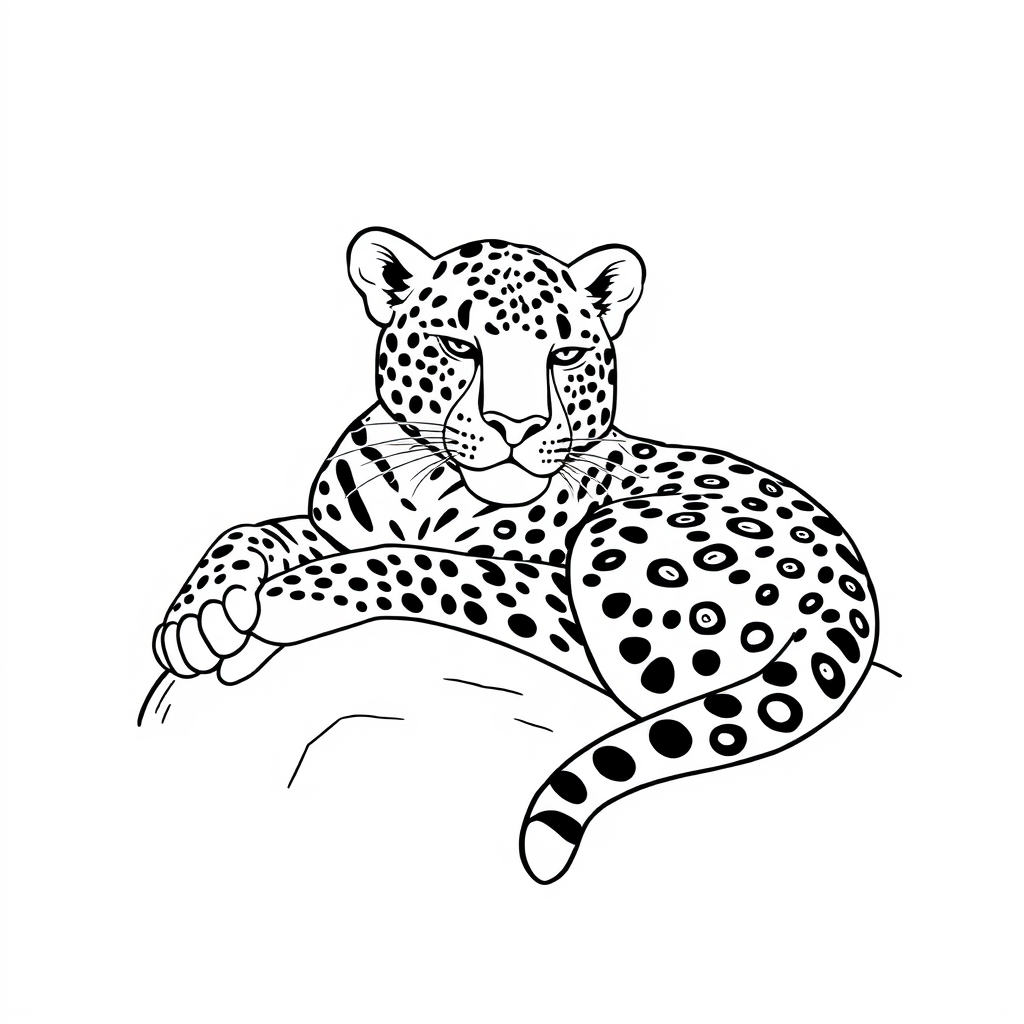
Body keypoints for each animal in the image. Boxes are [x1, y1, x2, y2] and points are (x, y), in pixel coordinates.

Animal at [149, 227, 882, 884]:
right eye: (458, 346)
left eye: (566, 355)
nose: (517, 425)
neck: (427, 490)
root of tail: (848, 591)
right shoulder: (331, 530)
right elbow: (251, 531)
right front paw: (201, 617)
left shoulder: (532, 582)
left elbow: (413, 560)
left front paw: (274, 608)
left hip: (619, 564)